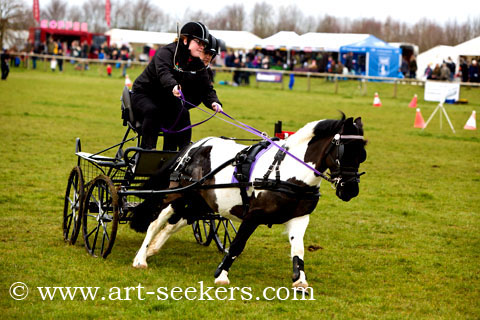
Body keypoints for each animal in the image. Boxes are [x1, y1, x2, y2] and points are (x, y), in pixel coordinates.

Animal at [129, 114, 366, 288]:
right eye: (344, 152)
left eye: (362, 155)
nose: (350, 191)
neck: (287, 172)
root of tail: (193, 146)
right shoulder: (253, 215)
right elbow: (237, 244)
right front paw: (221, 274)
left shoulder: (299, 217)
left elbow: (298, 249)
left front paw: (300, 280)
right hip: (178, 194)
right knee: (156, 221)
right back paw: (141, 258)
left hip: (200, 202)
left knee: (175, 223)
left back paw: (153, 249)